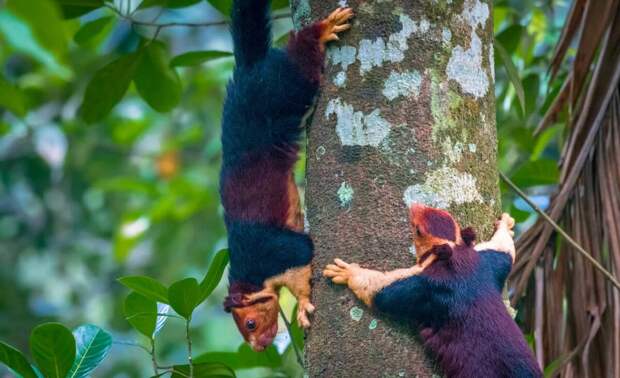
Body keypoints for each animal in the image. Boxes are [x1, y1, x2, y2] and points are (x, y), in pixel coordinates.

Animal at [220, 0, 352, 352]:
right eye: (242, 330)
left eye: (250, 323)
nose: (259, 347)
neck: (251, 274)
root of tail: (247, 70)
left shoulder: (274, 252)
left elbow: (303, 258)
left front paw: (304, 305)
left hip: (278, 90)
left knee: (297, 62)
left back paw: (321, 31)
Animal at [324, 205, 544, 376]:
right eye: (443, 213)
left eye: (418, 230)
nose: (413, 206)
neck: (454, 257)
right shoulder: (487, 262)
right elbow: (505, 249)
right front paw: (506, 223)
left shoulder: (424, 287)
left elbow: (379, 291)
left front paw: (347, 272)